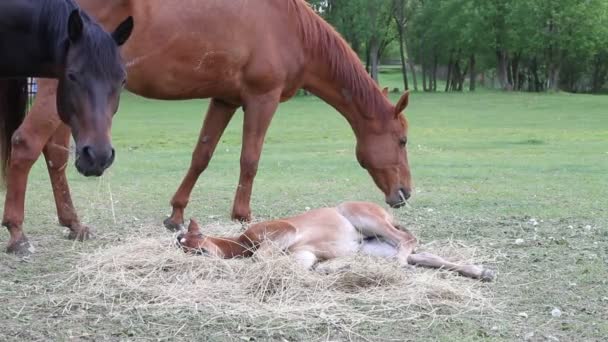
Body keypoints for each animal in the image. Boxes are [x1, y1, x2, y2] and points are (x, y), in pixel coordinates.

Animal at [2, 0, 410, 254]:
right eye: (403, 140)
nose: (404, 193)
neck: (291, 28)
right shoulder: (262, 99)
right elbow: (250, 159)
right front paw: (242, 214)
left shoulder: (225, 99)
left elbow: (203, 153)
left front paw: (175, 214)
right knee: (26, 144)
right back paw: (18, 234)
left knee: (54, 155)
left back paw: (74, 224)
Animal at [176, 200, 494, 280]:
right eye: (183, 246)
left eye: (197, 240)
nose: (200, 255)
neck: (242, 241)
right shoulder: (304, 255)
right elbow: (307, 266)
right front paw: (336, 267)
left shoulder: (283, 231)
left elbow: (263, 258)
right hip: (375, 246)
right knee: (423, 255)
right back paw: (481, 271)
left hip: (365, 217)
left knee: (409, 238)